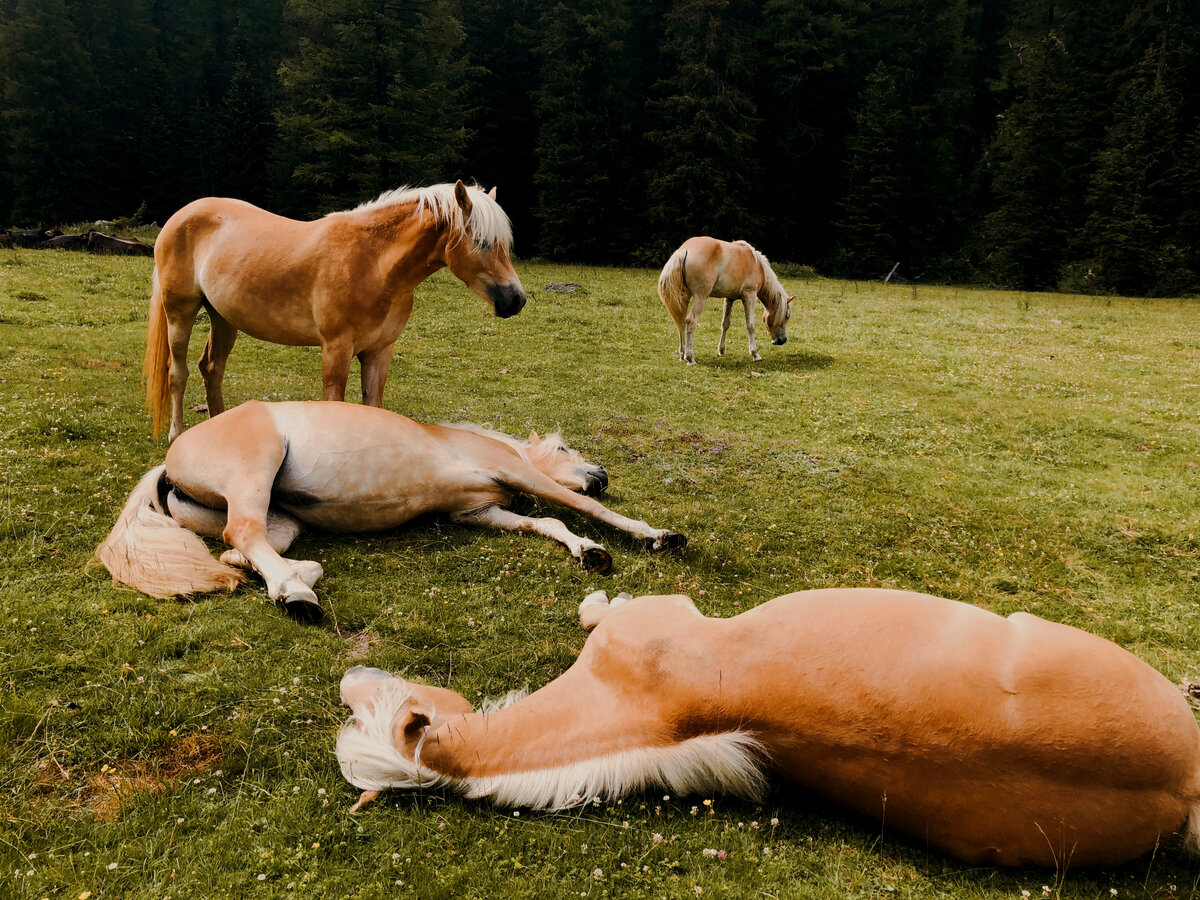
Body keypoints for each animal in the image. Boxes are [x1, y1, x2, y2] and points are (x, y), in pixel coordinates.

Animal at [93, 400, 686, 619]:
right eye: (564, 448)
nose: (603, 475)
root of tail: (170, 460)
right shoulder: (518, 474)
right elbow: (574, 506)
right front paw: (657, 536)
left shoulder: (478, 512)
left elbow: (548, 521)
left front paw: (589, 553)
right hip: (253, 473)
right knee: (244, 535)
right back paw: (297, 593)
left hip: (279, 519)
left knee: (241, 551)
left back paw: (293, 575)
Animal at [141, 178, 525, 441]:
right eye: (482, 242)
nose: (516, 300)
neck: (374, 262)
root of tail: (181, 217)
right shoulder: (336, 350)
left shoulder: (379, 352)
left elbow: (374, 408)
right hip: (180, 313)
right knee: (178, 372)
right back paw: (176, 436)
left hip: (223, 319)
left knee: (212, 369)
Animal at [657, 240, 796, 367]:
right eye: (787, 316)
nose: (782, 340)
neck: (757, 265)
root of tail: (684, 250)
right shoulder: (750, 296)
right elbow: (750, 325)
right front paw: (755, 354)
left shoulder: (729, 299)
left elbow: (725, 324)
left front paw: (721, 351)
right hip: (700, 297)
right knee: (690, 321)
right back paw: (690, 358)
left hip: (684, 298)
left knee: (681, 322)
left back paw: (682, 354)